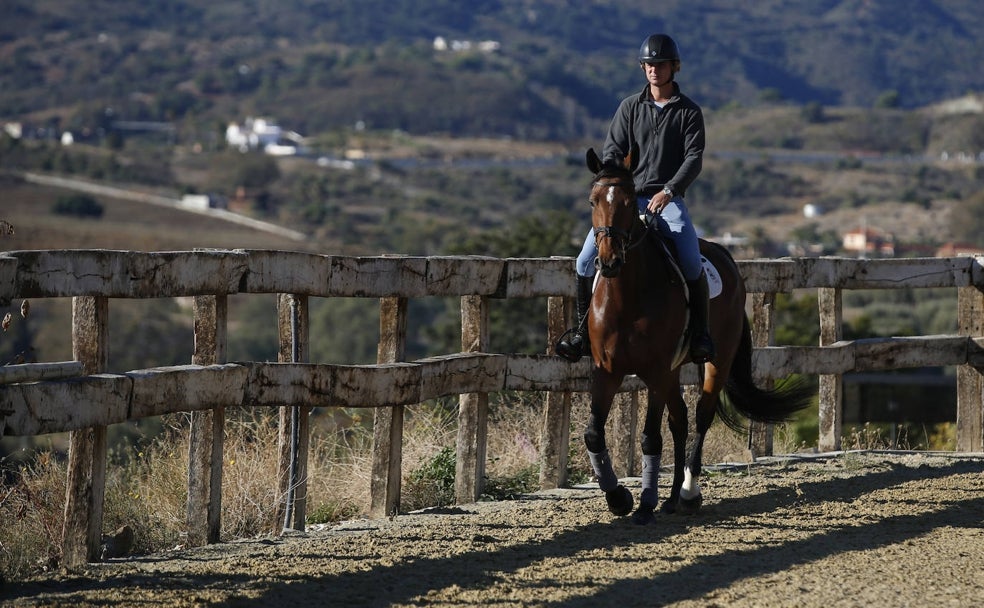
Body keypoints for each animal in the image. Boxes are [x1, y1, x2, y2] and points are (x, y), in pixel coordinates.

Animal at [584, 146, 808, 524]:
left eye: (629, 201)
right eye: (593, 200)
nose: (610, 262)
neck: (627, 296)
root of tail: (727, 259)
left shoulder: (656, 372)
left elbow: (650, 438)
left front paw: (644, 504)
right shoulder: (608, 371)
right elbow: (593, 434)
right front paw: (618, 498)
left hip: (716, 361)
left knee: (701, 415)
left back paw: (687, 493)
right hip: (674, 371)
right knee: (681, 420)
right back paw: (673, 497)